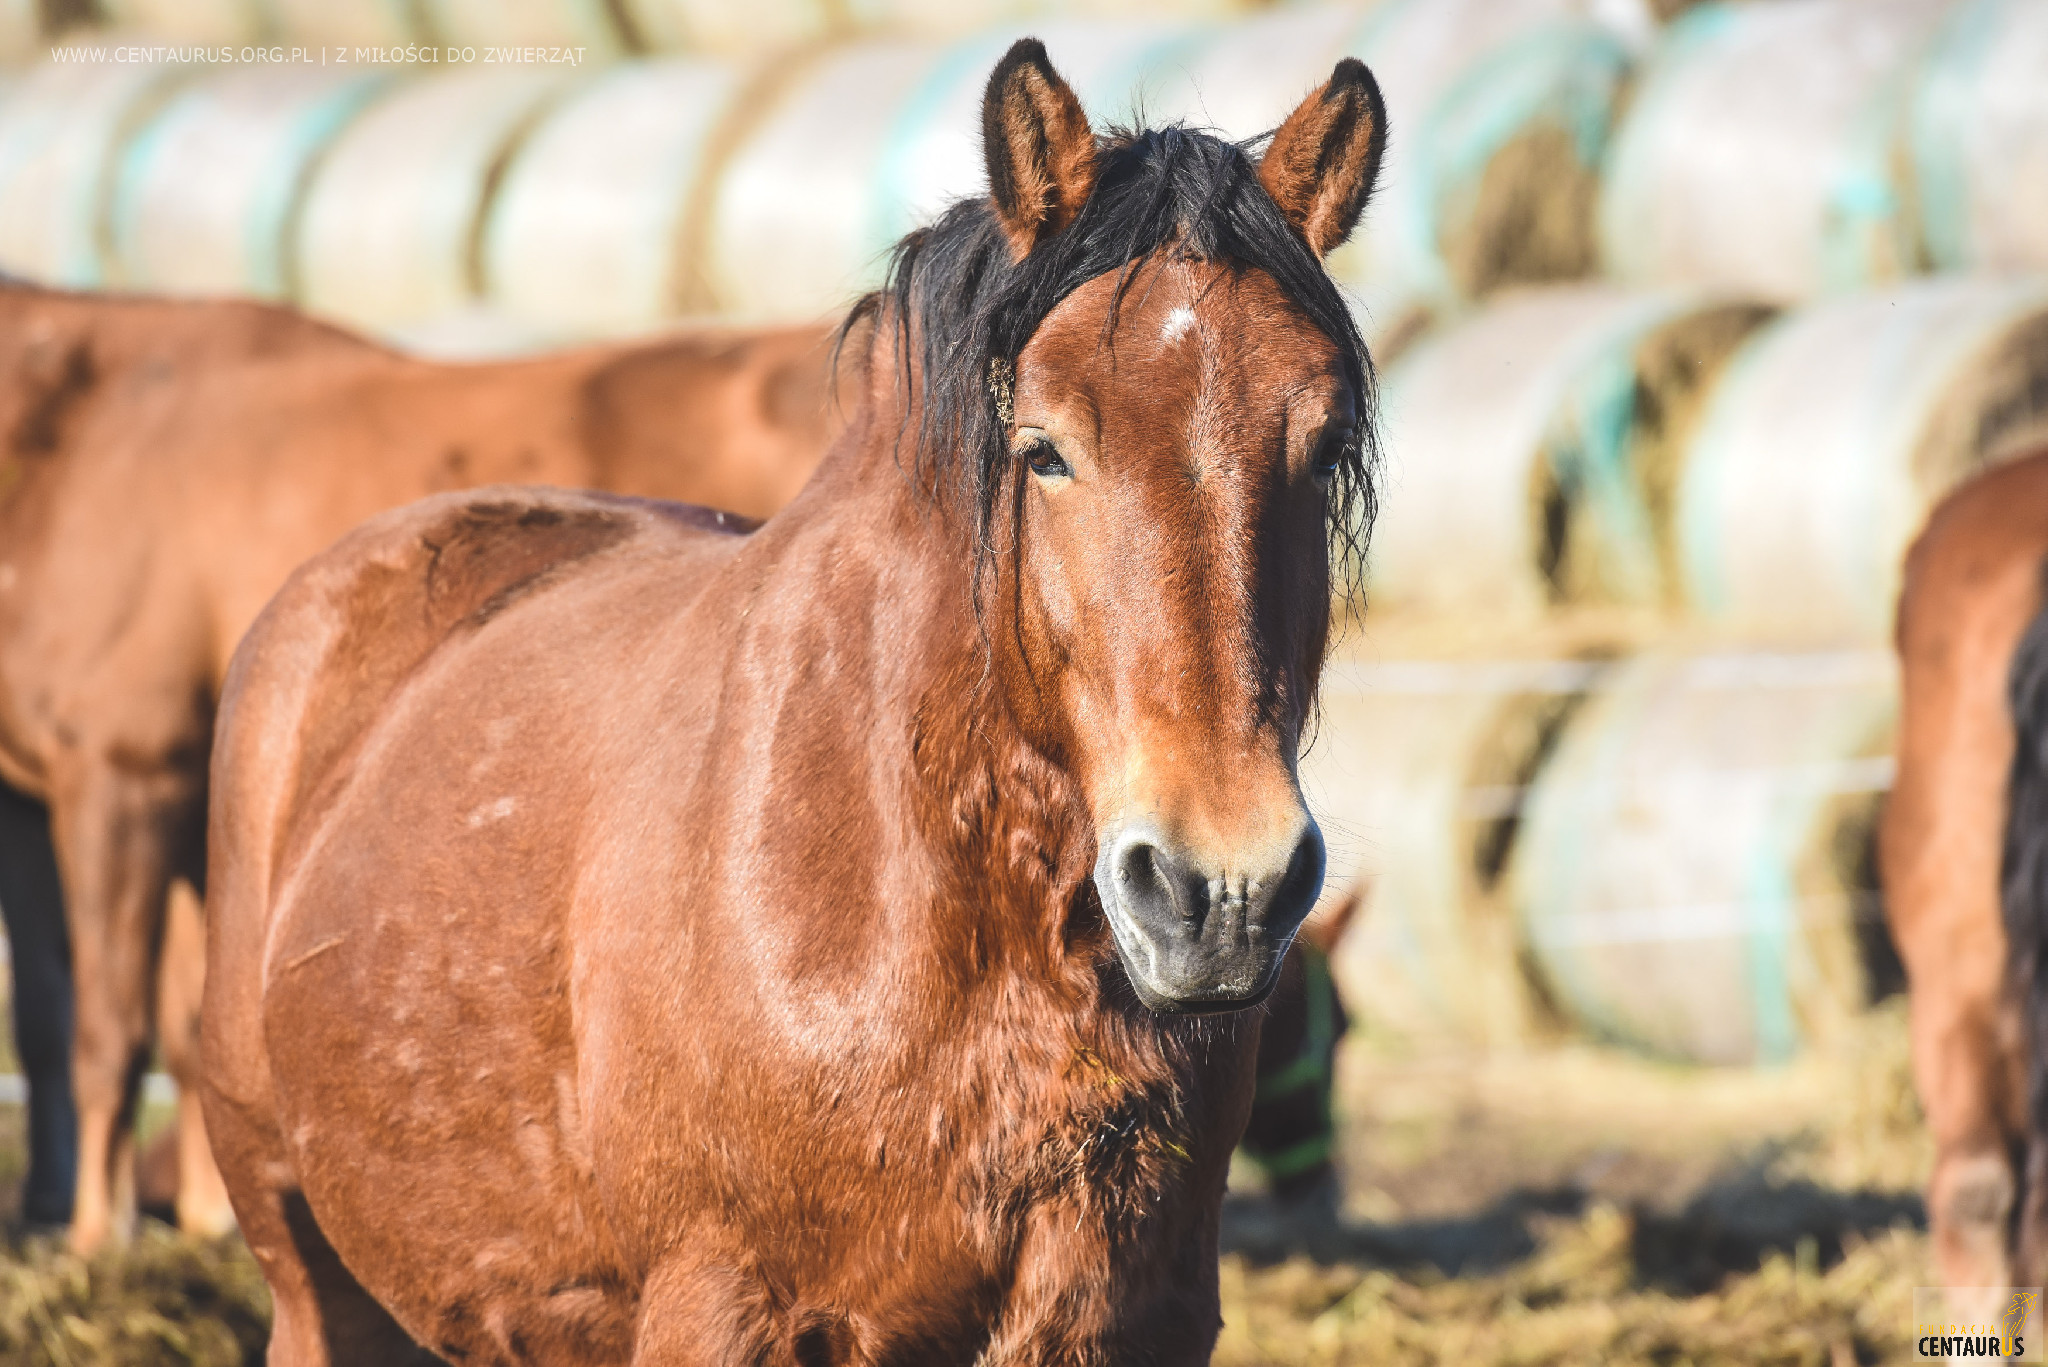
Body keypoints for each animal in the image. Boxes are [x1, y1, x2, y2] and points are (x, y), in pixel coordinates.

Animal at [0, 286, 839, 1254]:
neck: (78, 430)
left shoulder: (119, 771)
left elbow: (108, 1031)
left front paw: (99, 1237)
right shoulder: (77, 806)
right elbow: (74, 1019)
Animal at [199, 42, 1384, 1367]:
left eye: (1323, 444)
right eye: (1043, 448)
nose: (1220, 891)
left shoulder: (1132, 1314)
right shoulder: (721, 1306)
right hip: (306, 1264)